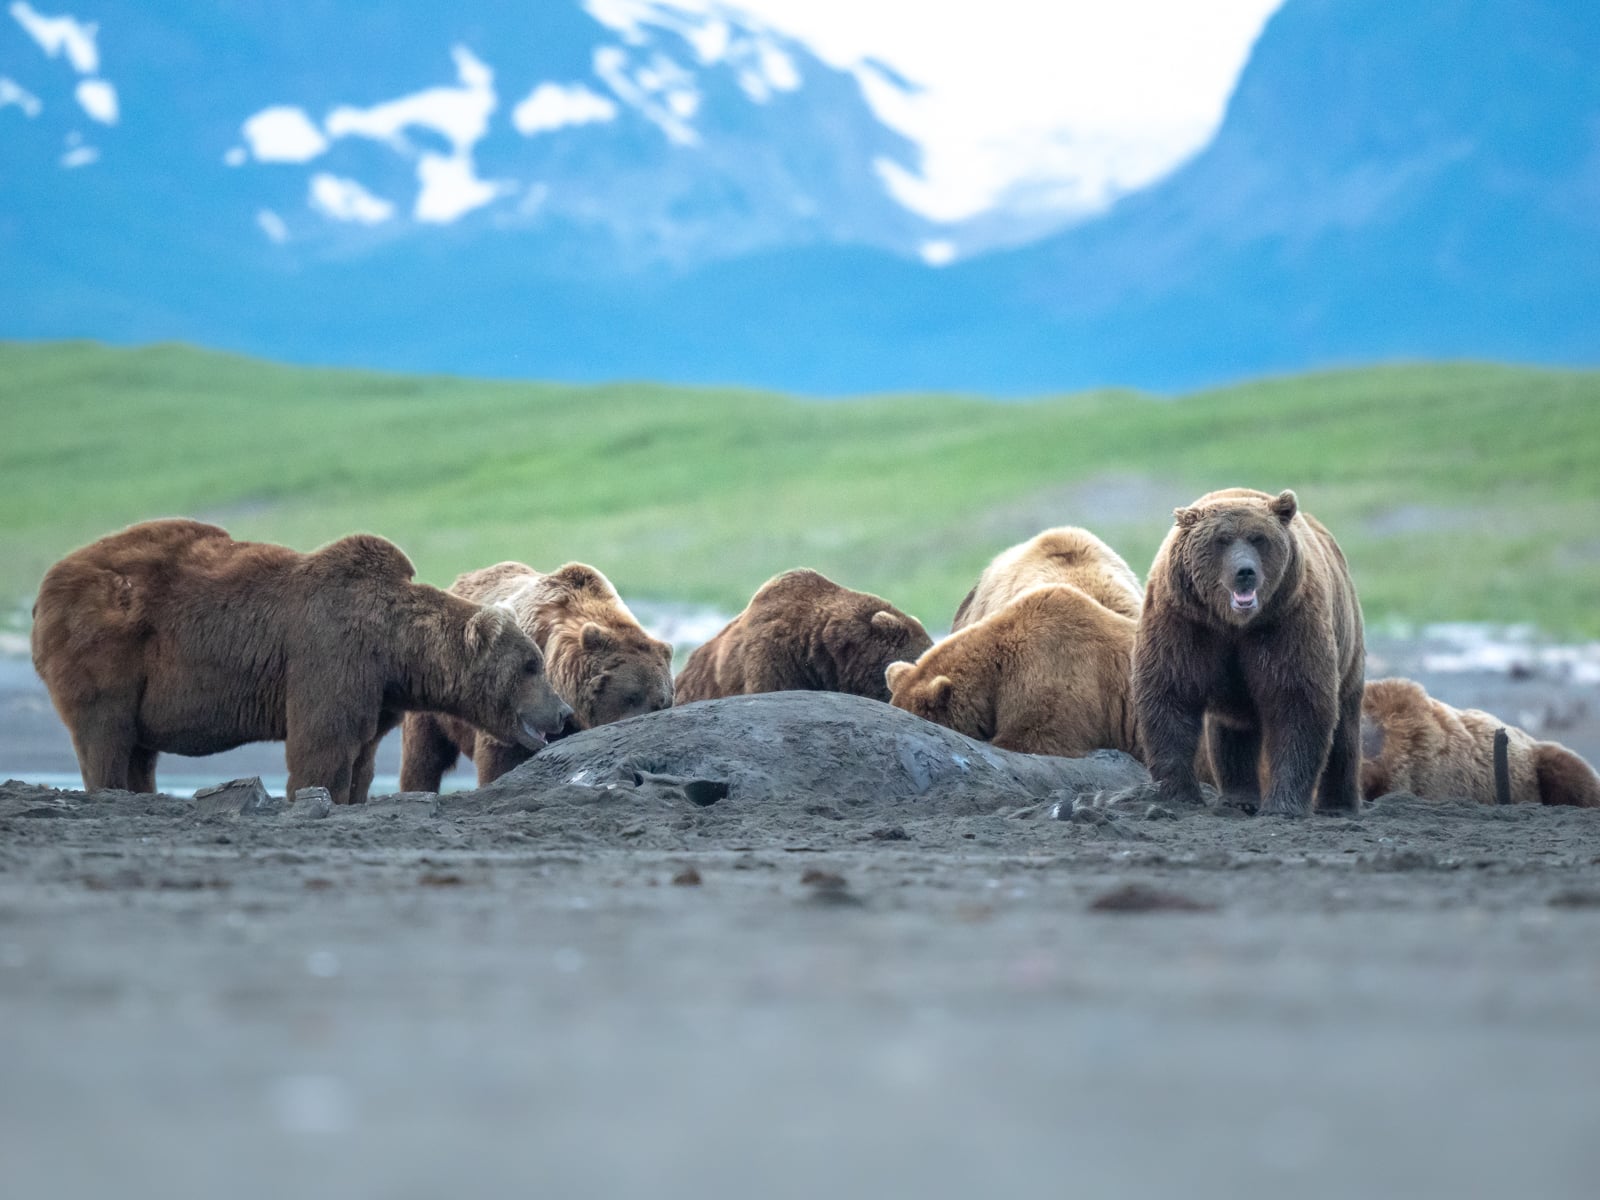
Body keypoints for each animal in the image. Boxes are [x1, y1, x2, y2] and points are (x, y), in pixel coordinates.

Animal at [29, 519, 572, 804]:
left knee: (139, 750)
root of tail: (46, 587)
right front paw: (315, 794)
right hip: (106, 648)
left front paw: (352, 796)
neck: (393, 648)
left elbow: (361, 757)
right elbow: (322, 747)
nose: (563, 711)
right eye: (531, 665)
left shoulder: (376, 693)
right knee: (105, 734)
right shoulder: (330, 654)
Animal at [1132, 488, 1364, 817]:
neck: (1234, 624)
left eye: (1258, 538)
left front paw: (1283, 805)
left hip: (1348, 644)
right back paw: (1238, 798)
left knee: (1344, 728)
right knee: (1232, 733)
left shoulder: (1285, 623)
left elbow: (1298, 702)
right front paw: (1179, 793)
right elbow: (1170, 692)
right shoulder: (1184, 621)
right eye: (1221, 540)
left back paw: (1338, 804)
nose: (1245, 572)